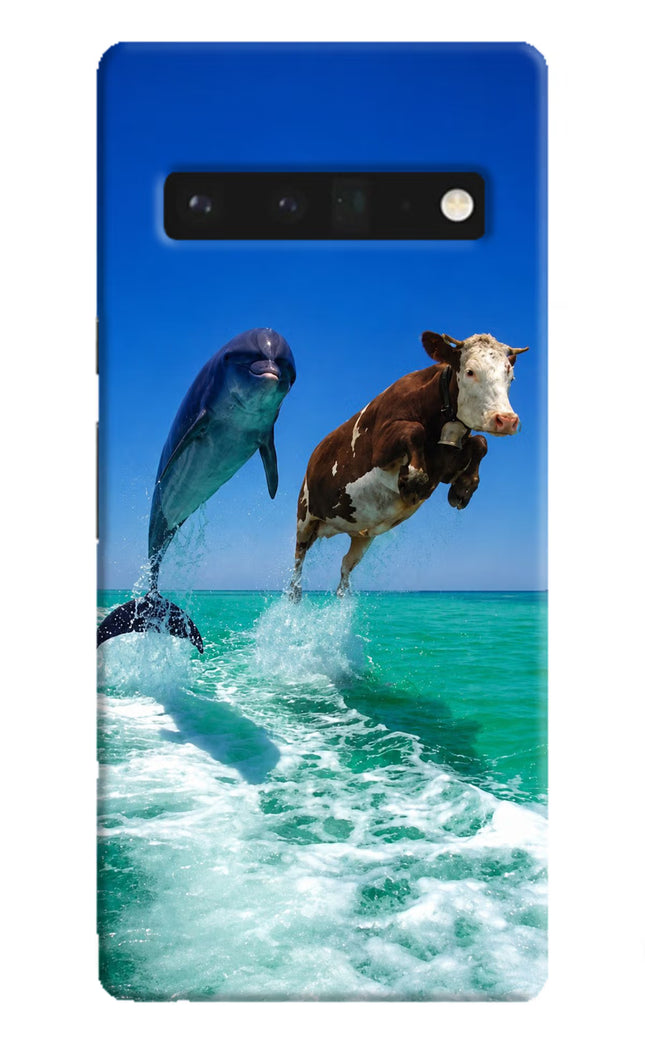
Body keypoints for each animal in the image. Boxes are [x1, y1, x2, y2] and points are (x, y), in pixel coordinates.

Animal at [288, 330, 528, 600]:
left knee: (345, 565)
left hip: (361, 534)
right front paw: (413, 480)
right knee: (298, 560)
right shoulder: (381, 446)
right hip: (304, 517)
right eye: (470, 371)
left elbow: (480, 442)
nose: (506, 420)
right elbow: (414, 430)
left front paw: (463, 488)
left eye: (511, 375)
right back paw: (295, 594)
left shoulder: (445, 465)